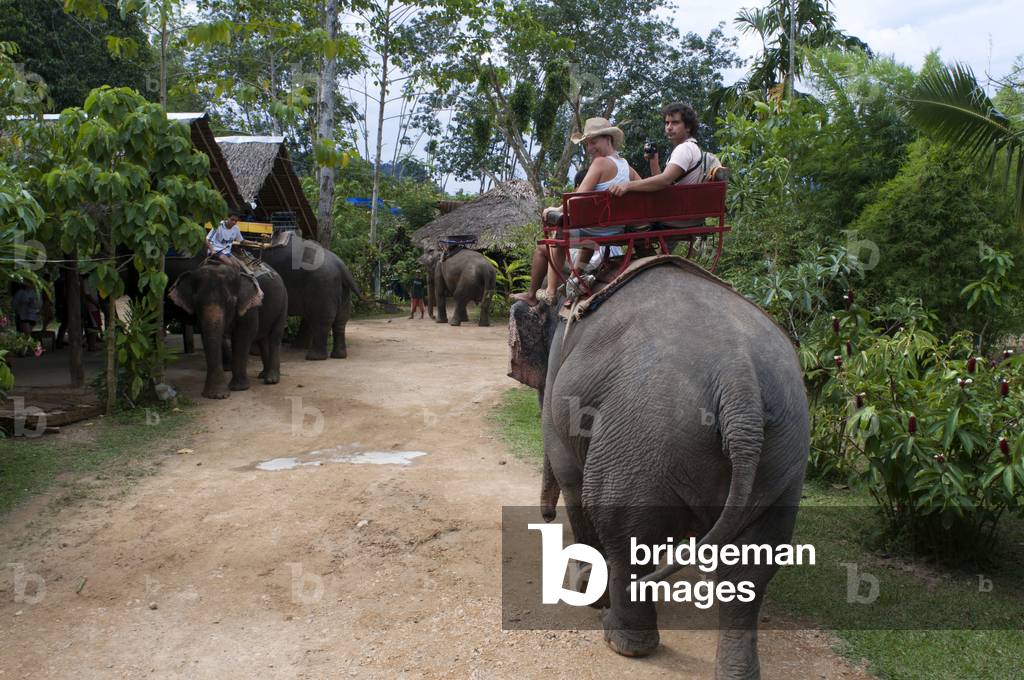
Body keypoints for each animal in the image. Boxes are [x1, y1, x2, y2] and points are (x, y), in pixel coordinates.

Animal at [169, 263, 288, 399]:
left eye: (229, 302)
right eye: (196, 302)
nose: (217, 395)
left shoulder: (249, 307)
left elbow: (243, 335)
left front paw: (238, 388)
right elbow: (208, 335)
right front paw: (216, 395)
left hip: (283, 304)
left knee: (275, 336)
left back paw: (271, 380)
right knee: (262, 340)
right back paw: (263, 375)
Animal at [507, 258, 809, 679]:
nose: (546, 516)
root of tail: (741, 386)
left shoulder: (559, 383)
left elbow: (571, 478)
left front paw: (585, 587)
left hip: (640, 436)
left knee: (622, 526)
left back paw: (619, 638)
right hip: (782, 454)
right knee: (754, 560)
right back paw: (735, 671)